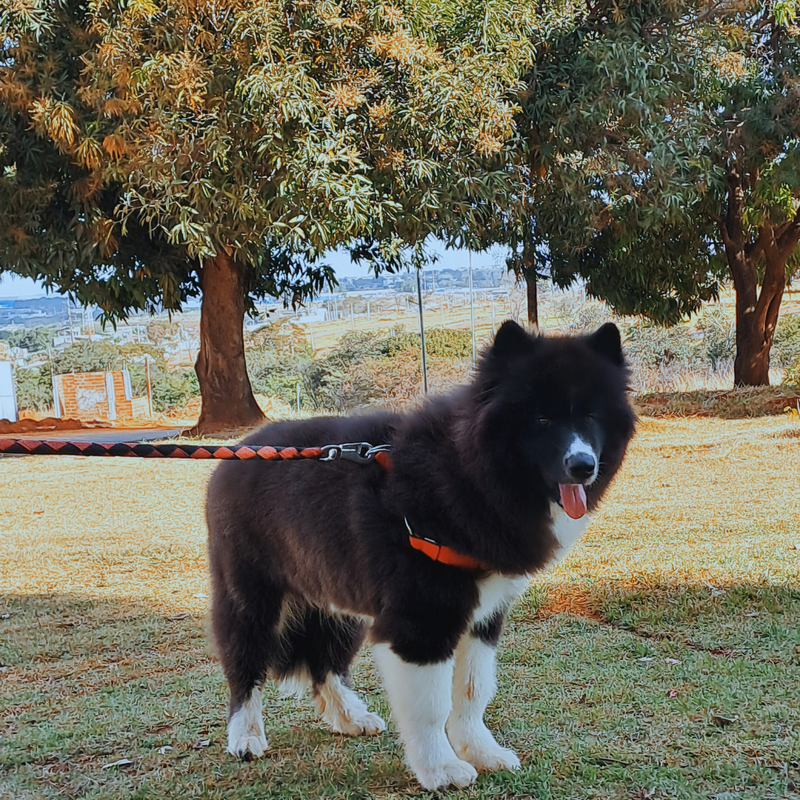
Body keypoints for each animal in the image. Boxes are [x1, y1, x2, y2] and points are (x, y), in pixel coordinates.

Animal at [208, 318, 636, 788]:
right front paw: (441, 768)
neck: (469, 472)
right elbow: (431, 705)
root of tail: (237, 452)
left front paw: (481, 751)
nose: (583, 466)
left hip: (335, 596)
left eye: (591, 415)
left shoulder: (484, 615)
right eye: (542, 418)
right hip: (252, 597)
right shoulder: (421, 619)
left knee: (326, 661)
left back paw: (350, 716)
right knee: (244, 665)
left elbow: (472, 691)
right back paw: (246, 736)